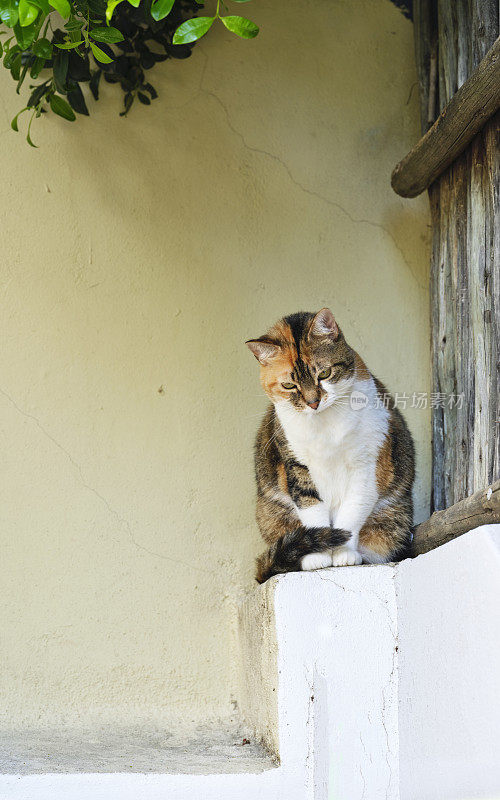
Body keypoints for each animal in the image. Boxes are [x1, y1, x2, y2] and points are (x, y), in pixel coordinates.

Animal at [245, 310, 414, 584]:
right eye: (289, 385)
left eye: (324, 374)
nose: (313, 402)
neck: (325, 425)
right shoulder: (295, 465)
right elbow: (312, 510)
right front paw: (317, 557)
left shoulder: (369, 463)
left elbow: (352, 511)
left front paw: (344, 554)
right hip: (271, 515)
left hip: (393, 521)